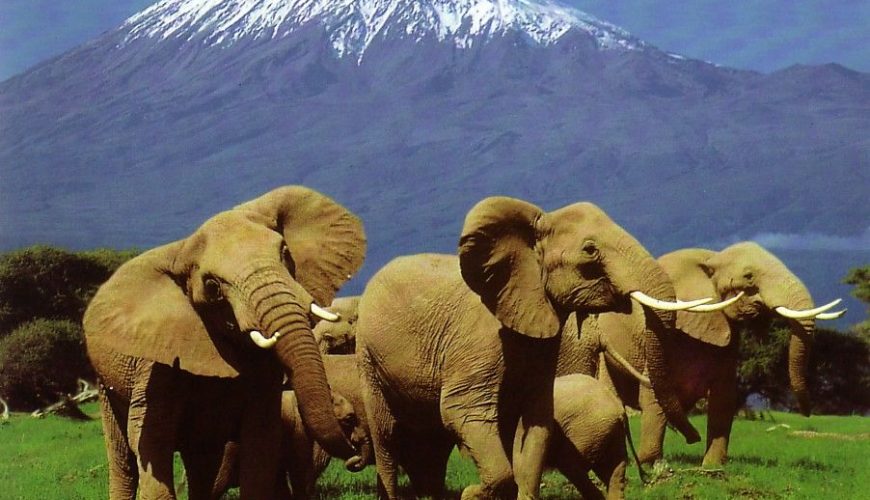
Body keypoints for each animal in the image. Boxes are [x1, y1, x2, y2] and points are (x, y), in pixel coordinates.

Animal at [82, 186, 366, 499]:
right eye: (213, 287)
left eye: (285, 253)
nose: (354, 452)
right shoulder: (156, 364)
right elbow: (151, 439)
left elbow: (260, 439)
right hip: (104, 385)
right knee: (123, 459)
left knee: (202, 462)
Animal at [356, 197, 710, 500]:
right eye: (590, 250)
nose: (694, 437)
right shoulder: (476, 342)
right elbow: (461, 411)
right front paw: (472, 493)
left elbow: (535, 424)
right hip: (368, 357)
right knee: (386, 435)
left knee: (431, 443)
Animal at [583, 241, 845, 466]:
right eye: (749, 276)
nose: (807, 412)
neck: (713, 259)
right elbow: (654, 391)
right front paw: (652, 463)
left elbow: (724, 395)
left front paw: (712, 467)